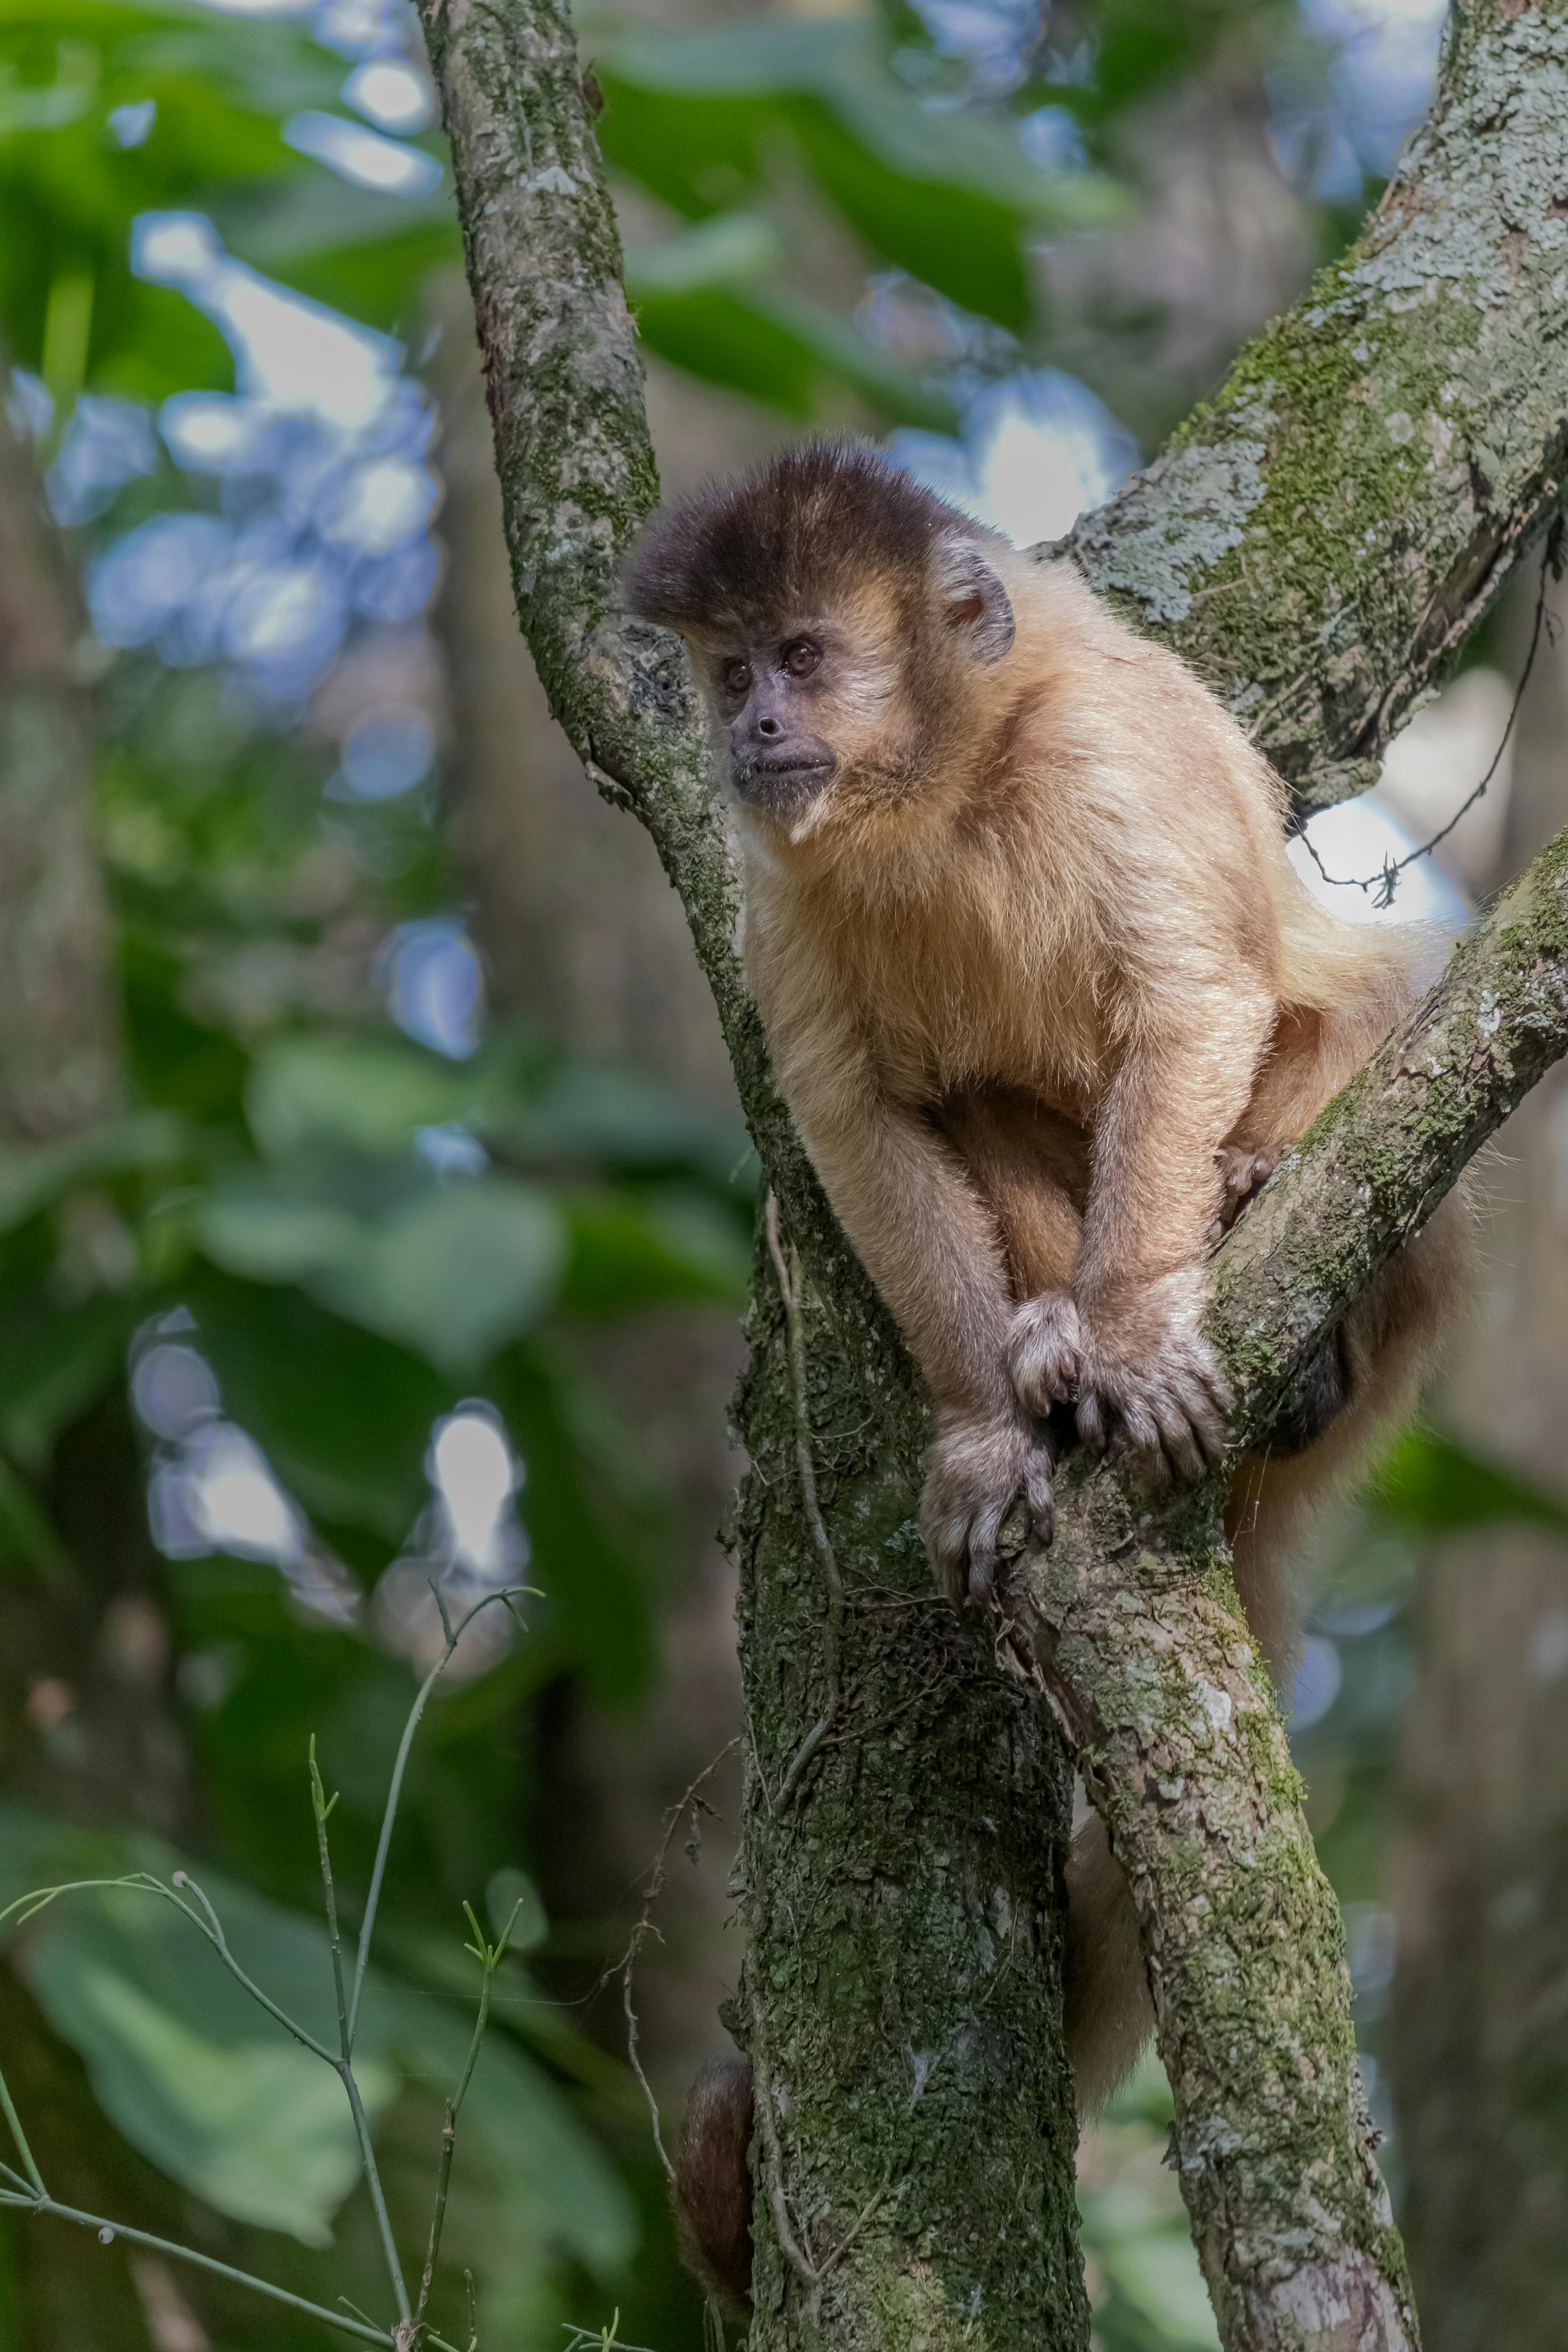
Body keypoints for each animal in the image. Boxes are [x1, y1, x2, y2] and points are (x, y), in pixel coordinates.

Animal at [621, 442, 1476, 2314]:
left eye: (805, 655)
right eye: (728, 671)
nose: (750, 726)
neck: (937, 787)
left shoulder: (1095, 758)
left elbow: (1190, 1001)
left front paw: (1144, 1320)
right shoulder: (776, 876)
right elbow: (856, 1117)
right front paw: (980, 1431)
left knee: (1358, 994)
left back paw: (1284, 1325)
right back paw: (1043, 1347)